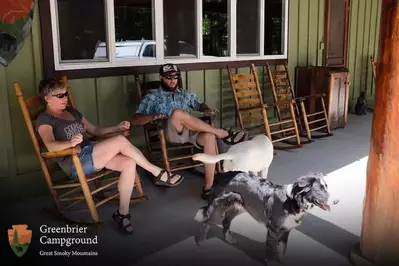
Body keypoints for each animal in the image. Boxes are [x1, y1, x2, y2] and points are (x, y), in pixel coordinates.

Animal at [194, 171, 334, 264]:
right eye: (320, 189)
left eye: (326, 187)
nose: (336, 201)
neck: (292, 201)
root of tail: (220, 174)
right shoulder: (273, 230)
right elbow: (271, 251)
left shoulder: (287, 229)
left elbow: (282, 249)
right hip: (218, 208)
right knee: (206, 222)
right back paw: (201, 243)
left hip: (238, 207)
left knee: (225, 222)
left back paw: (229, 238)